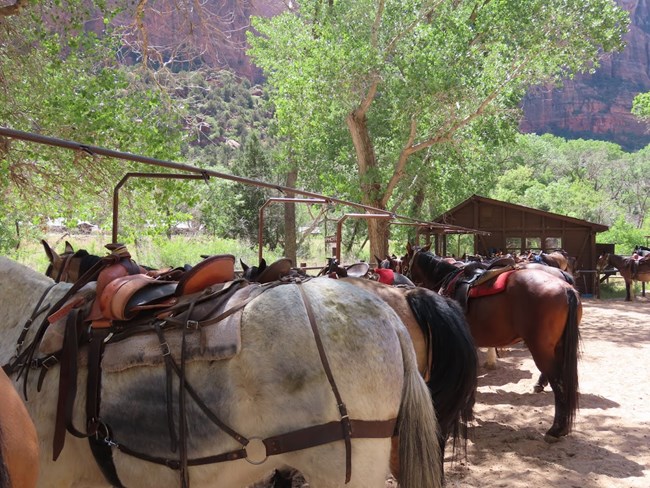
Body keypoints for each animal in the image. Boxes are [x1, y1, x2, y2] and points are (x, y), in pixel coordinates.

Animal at [402, 244, 580, 442]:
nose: (404, 279)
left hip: (541, 349)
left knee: (558, 382)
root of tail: (566, 289)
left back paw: (556, 429)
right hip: (560, 347)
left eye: (403, 261)